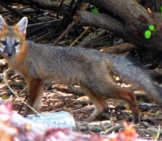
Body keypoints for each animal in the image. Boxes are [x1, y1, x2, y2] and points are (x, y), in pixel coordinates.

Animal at [0, 16, 162, 123]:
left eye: (16, 43)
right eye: (4, 42)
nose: (8, 53)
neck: (23, 54)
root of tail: (101, 53)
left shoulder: (35, 80)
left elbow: (30, 103)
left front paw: (25, 117)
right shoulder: (39, 82)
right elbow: (37, 104)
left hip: (101, 87)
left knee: (129, 93)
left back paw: (136, 118)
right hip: (86, 86)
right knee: (103, 105)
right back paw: (86, 122)